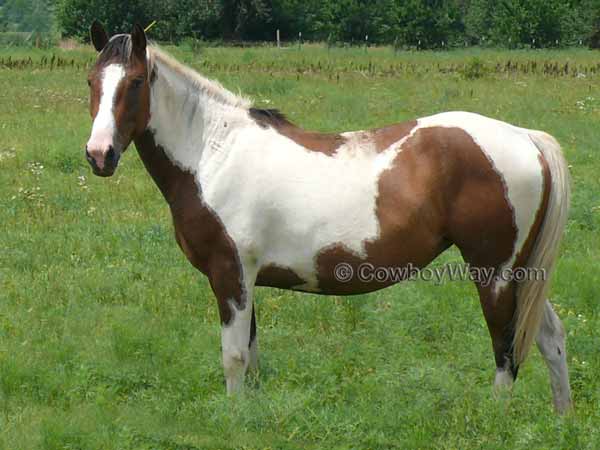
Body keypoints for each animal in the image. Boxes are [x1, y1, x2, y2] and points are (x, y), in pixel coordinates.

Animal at [83, 22, 572, 414]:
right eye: (91, 81)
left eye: (136, 82)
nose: (99, 154)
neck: (213, 153)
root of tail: (525, 136)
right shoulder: (247, 280)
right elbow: (253, 356)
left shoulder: (230, 275)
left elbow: (234, 358)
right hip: (521, 273)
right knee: (550, 337)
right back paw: (561, 418)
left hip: (494, 274)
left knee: (506, 349)